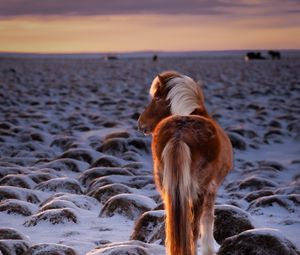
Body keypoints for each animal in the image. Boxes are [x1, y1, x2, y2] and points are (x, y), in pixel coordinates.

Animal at [137, 70, 233, 255]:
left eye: (156, 98)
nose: (140, 123)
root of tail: (179, 134)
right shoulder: (211, 189)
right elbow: (207, 221)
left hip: (167, 188)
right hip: (198, 191)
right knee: (193, 229)